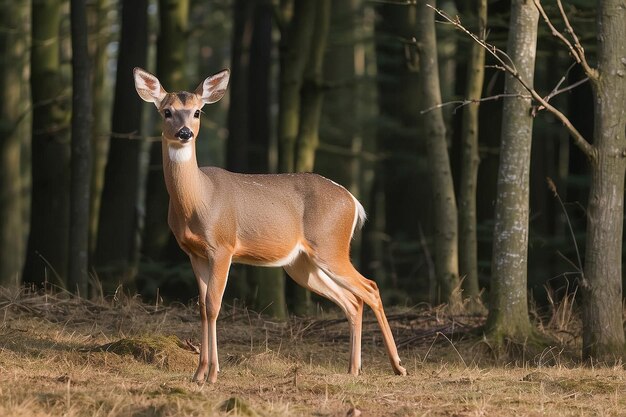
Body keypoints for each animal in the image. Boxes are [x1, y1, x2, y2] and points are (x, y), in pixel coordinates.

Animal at [132, 66, 408, 382]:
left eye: (197, 112)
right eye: (167, 112)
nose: (185, 133)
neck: (199, 199)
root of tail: (353, 201)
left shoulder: (223, 247)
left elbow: (213, 306)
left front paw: (212, 373)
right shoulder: (194, 253)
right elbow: (201, 307)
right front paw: (199, 373)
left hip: (330, 245)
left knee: (370, 288)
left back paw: (398, 365)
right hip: (302, 263)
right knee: (353, 300)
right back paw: (353, 369)